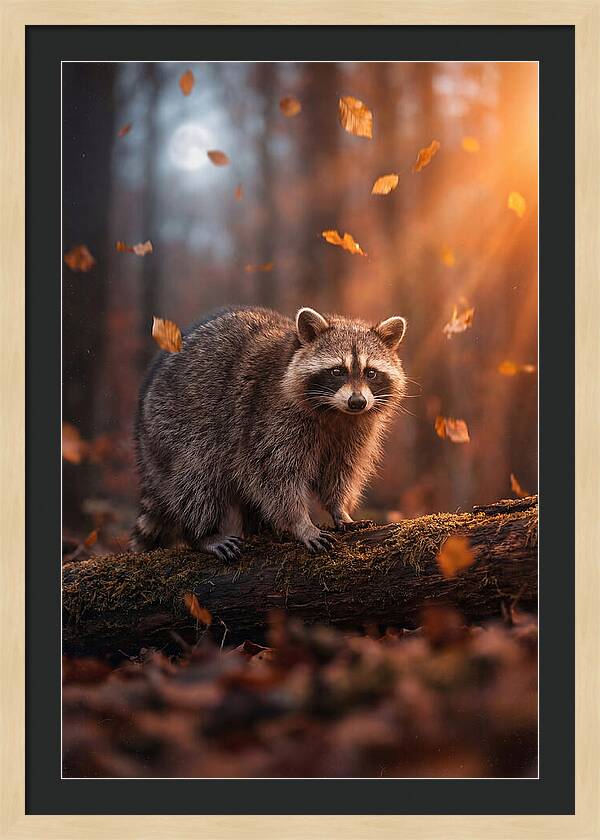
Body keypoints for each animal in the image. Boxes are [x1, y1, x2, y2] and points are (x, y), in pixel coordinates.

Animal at [132, 306, 407, 560]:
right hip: (175, 427)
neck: (336, 412)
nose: (357, 402)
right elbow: (276, 476)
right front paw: (301, 523)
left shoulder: (354, 431)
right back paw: (203, 533)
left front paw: (339, 509)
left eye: (370, 373)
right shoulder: (269, 418)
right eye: (337, 371)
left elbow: (340, 471)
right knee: (197, 478)